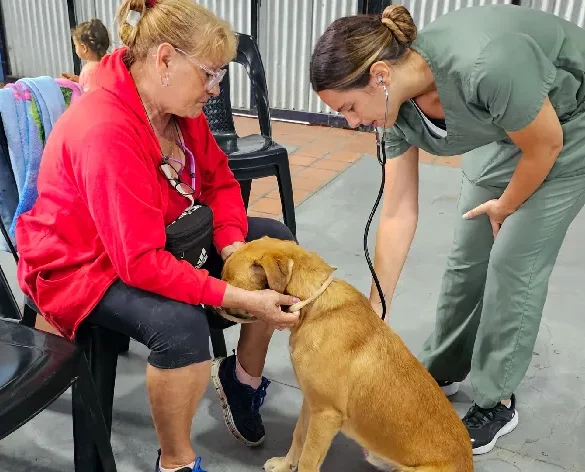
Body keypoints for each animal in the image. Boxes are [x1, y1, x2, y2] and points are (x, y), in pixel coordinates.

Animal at [220, 237, 474, 472]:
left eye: (230, 283)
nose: (213, 302)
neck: (313, 306)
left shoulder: (326, 414)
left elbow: (308, 459)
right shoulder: (311, 403)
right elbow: (298, 435)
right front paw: (285, 464)